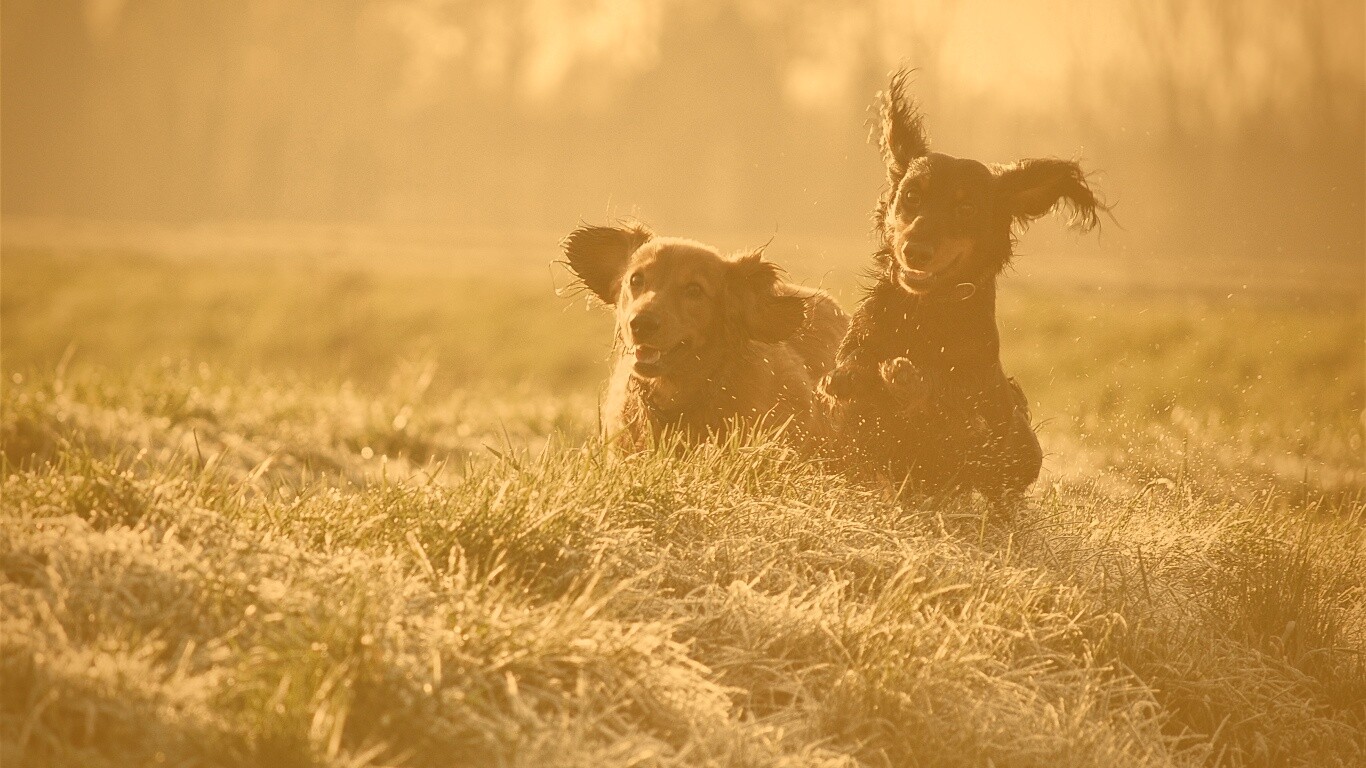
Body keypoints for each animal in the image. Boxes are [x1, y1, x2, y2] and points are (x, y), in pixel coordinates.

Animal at [814, 71, 1103, 500]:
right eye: (911, 196)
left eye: (965, 209)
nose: (915, 251)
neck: (925, 311)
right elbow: (855, 369)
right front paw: (850, 375)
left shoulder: (974, 424)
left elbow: (946, 405)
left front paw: (908, 379)